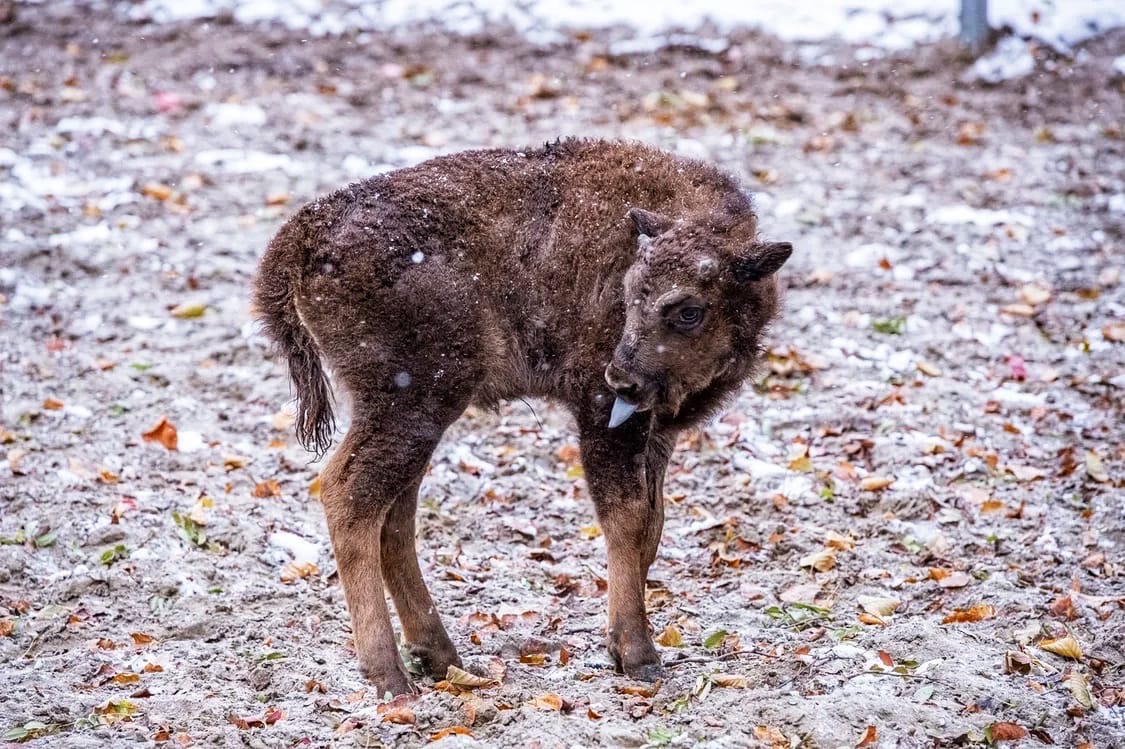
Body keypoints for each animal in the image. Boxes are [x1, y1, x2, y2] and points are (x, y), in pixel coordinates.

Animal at [255, 138, 792, 692]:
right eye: (629, 297)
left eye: (688, 310)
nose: (620, 379)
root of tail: (298, 240)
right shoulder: (602, 416)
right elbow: (626, 521)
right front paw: (638, 655)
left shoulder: (656, 433)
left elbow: (653, 527)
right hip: (413, 404)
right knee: (350, 497)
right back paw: (389, 675)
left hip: (412, 417)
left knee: (395, 518)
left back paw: (440, 656)